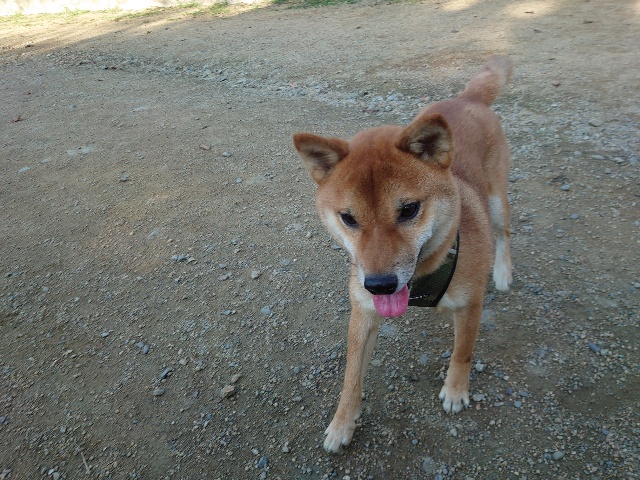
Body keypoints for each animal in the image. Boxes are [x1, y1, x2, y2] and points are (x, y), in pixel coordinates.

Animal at [293, 56, 513, 453]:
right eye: (349, 218)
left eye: (409, 210)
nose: (380, 285)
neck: (424, 276)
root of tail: (467, 99)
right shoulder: (363, 314)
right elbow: (351, 377)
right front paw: (342, 423)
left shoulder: (471, 305)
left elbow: (463, 352)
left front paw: (455, 390)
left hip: (496, 199)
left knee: (504, 231)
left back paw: (503, 271)